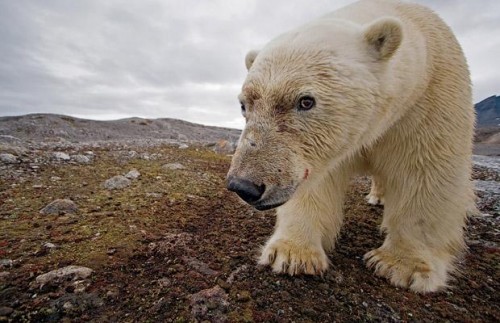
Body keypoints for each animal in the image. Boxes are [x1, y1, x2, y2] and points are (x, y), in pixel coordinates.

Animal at [227, 0, 472, 294]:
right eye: (244, 104)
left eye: (306, 101)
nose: (244, 186)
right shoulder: (325, 149)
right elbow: (317, 183)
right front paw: (292, 254)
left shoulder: (428, 102)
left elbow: (426, 173)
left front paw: (402, 266)